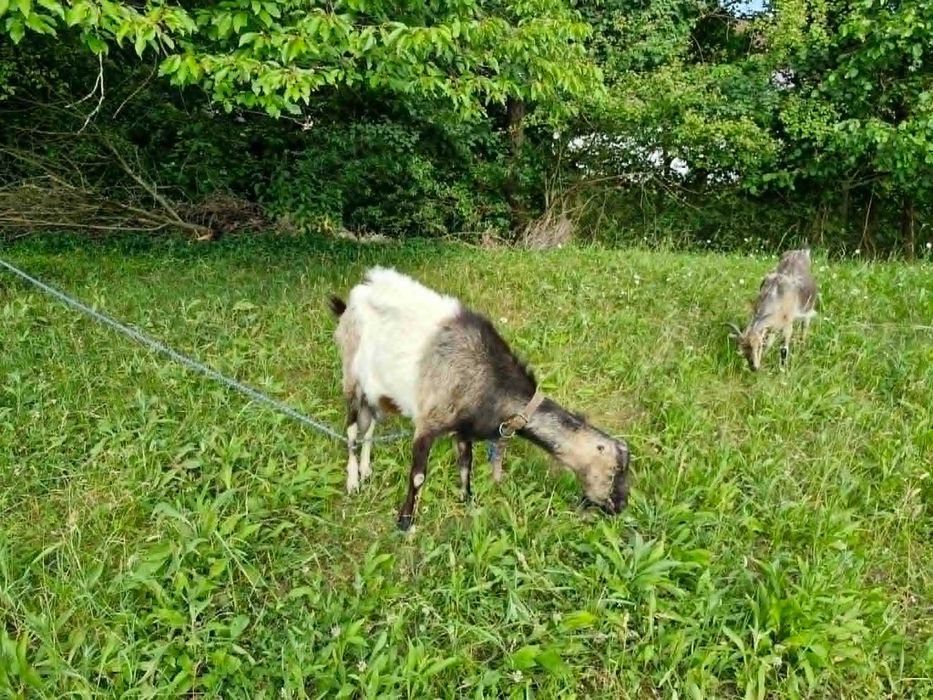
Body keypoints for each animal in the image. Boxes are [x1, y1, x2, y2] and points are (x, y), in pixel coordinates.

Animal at [329, 267, 630, 531]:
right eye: (616, 470)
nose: (621, 506)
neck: (489, 379)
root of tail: (354, 298)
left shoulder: (462, 430)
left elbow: (466, 465)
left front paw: (468, 502)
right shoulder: (428, 422)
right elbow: (418, 476)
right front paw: (405, 524)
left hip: (377, 394)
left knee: (370, 427)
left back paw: (367, 470)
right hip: (351, 379)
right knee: (353, 430)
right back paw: (353, 481)